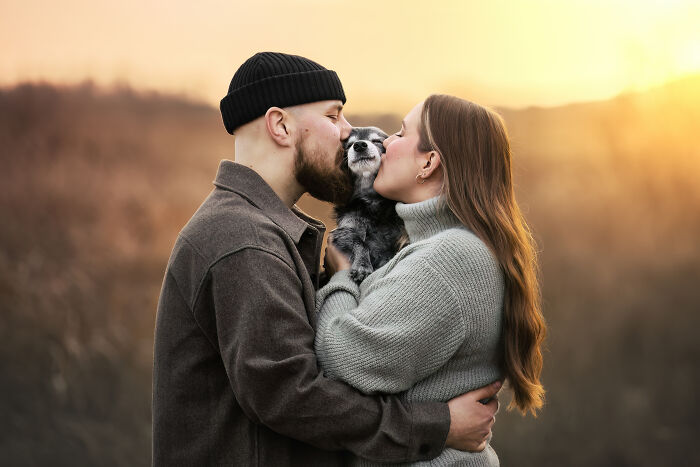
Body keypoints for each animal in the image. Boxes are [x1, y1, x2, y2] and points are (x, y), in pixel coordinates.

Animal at [326, 126, 408, 284]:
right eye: (349, 145)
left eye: (376, 141)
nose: (359, 145)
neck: (372, 203)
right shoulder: (346, 230)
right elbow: (360, 242)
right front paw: (362, 265)